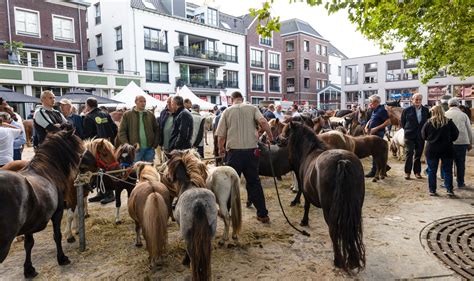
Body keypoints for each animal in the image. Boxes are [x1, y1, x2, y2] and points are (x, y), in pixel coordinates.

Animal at [0, 130, 95, 278]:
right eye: (78, 144)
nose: (94, 161)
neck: (46, 170)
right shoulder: (58, 212)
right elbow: (57, 235)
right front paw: (62, 258)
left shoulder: (30, 223)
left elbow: (29, 244)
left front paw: (29, 269)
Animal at [167, 150, 217, 278]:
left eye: (168, 163)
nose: (168, 178)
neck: (187, 184)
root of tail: (198, 203)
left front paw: (185, 261)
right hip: (209, 237)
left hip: (190, 239)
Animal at [282, 122, 366, 272]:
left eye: (287, 132)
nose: (279, 141)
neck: (310, 152)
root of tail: (342, 162)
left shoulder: (306, 192)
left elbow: (306, 205)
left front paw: (304, 221)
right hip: (356, 206)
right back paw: (352, 260)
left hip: (329, 210)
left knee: (333, 230)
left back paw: (338, 260)